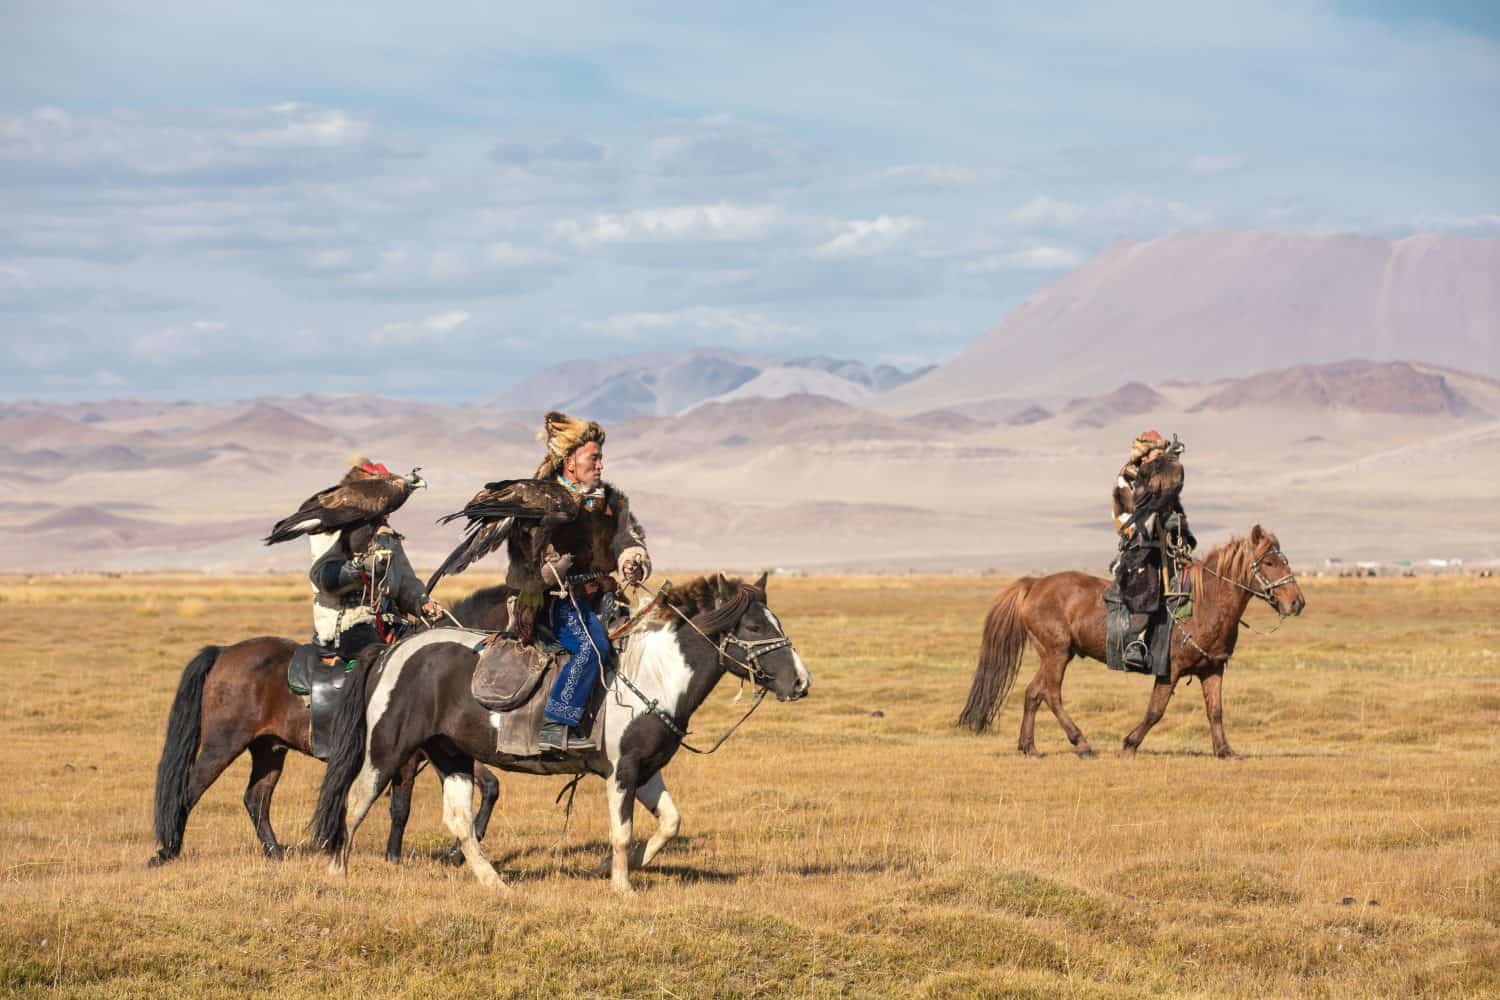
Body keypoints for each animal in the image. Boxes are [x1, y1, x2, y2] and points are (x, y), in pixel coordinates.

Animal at [150, 587, 510, 869]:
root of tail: (224, 652)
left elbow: (487, 788)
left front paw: (453, 852)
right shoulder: (411, 757)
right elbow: (402, 807)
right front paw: (398, 857)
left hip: (269, 749)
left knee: (256, 798)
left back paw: (275, 853)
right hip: (222, 745)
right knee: (190, 790)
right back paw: (167, 851)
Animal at [309, 575, 816, 893]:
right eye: (755, 625)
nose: (800, 682)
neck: (653, 676)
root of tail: (393, 650)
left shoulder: (647, 770)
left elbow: (669, 823)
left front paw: (618, 869)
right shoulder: (622, 771)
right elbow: (621, 831)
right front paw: (622, 887)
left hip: (450, 755)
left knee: (459, 822)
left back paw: (495, 884)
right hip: (387, 749)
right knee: (355, 802)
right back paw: (337, 873)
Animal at [960, 524, 1302, 758]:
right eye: (1270, 563)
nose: (1297, 603)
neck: (1205, 605)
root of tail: (1034, 584)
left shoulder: (1212, 670)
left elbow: (1215, 711)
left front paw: (1225, 751)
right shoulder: (1169, 670)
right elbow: (1155, 711)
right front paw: (1129, 744)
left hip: (1055, 654)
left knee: (1033, 693)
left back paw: (1029, 746)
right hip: (1056, 653)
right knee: (1051, 694)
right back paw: (1082, 744)